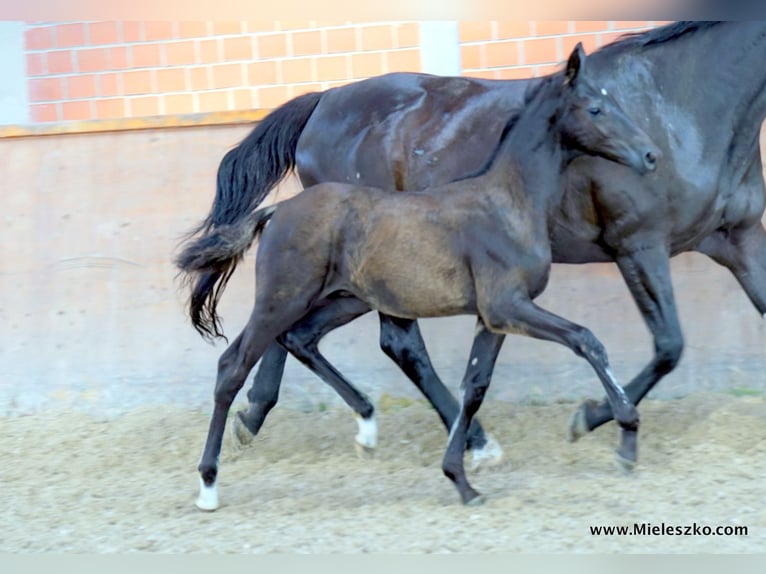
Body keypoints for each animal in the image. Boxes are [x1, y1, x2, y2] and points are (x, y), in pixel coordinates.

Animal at [180, 46, 660, 512]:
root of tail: (277, 209)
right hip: (282, 298)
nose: (651, 155)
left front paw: (462, 479)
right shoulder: (509, 305)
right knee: (233, 366)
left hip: (343, 298)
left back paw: (364, 423)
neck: (507, 201)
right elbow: (586, 339)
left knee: (300, 338)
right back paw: (208, 485)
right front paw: (626, 438)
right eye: (596, 108)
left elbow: (475, 386)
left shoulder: (495, 317)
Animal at [188, 21, 766, 464]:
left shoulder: (737, 237)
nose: (647, 156)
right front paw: (592, 417)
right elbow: (667, 346)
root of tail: (322, 101)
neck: (676, 103)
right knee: (393, 343)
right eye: (598, 110)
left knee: (293, 332)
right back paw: (473, 440)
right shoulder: (638, 244)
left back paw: (256, 417)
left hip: (347, 281)